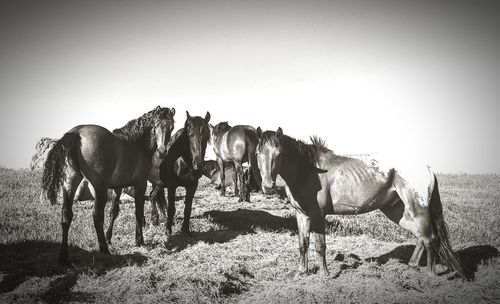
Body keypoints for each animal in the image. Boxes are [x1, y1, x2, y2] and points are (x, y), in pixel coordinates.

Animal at [42, 106, 177, 264]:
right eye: (155, 126)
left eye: (171, 128)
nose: (162, 151)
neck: (136, 144)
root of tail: (76, 133)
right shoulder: (140, 183)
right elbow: (138, 211)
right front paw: (139, 240)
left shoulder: (118, 187)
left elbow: (114, 211)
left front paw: (109, 236)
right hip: (100, 187)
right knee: (97, 216)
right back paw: (104, 249)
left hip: (69, 185)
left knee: (66, 216)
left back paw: (63, 257)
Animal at [256, 127, 466, 280]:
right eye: (258, 154)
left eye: (279, 154)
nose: (268, 186)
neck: (309, 170)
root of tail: (427, 168)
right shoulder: (302, 215)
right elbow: (303, 244)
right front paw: (301, 273)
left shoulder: (318, 215)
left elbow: (320, 246)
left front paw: (325, 275)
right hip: (398, 211)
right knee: (421, 236)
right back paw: (412, 266)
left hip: (417, 208)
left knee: (430, 238)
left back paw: (430, 275)